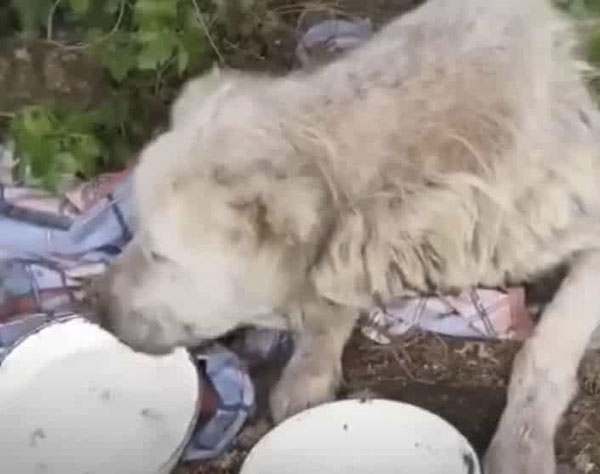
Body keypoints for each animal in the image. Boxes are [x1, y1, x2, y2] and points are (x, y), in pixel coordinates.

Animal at [95, 1, 600, 472]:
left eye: (160, 254)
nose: (94, 306)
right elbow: (330, 304)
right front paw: (310, 368)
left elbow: (545, 349)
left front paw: (522, 445)